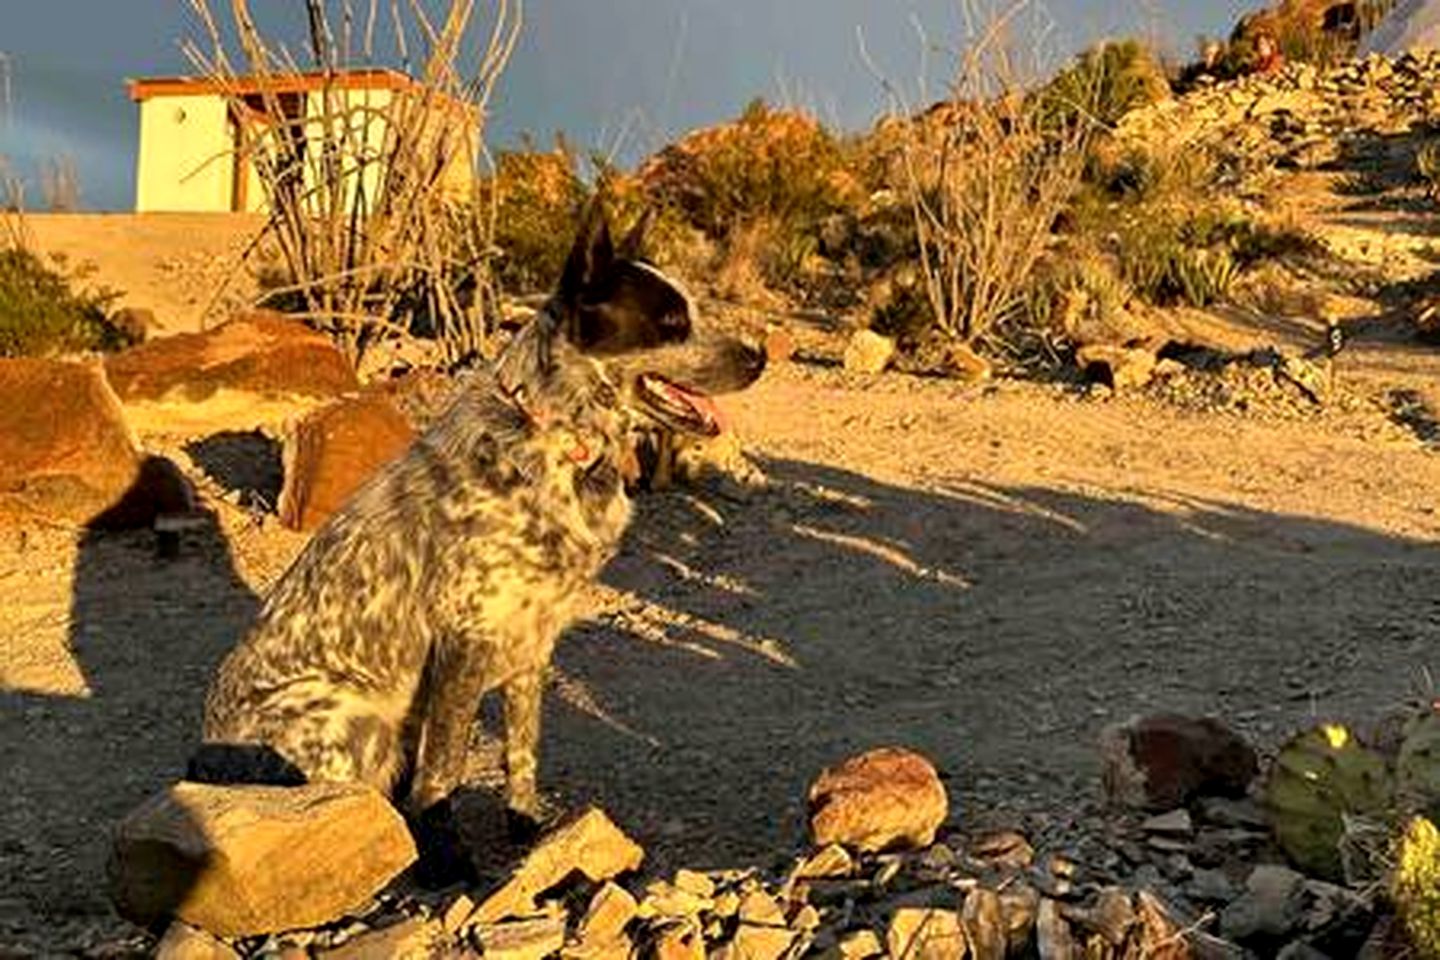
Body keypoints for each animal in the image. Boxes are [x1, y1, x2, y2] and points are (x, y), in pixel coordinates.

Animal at [192, 198, 771, 857]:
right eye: (671, 320)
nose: (759, 356)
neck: (558, 442)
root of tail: (201, 762)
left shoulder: (535, 644)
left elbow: (522, 752)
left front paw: (524, 826)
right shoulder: (463, 645)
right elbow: (442, 771)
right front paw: (447, 861)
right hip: (354, 718)